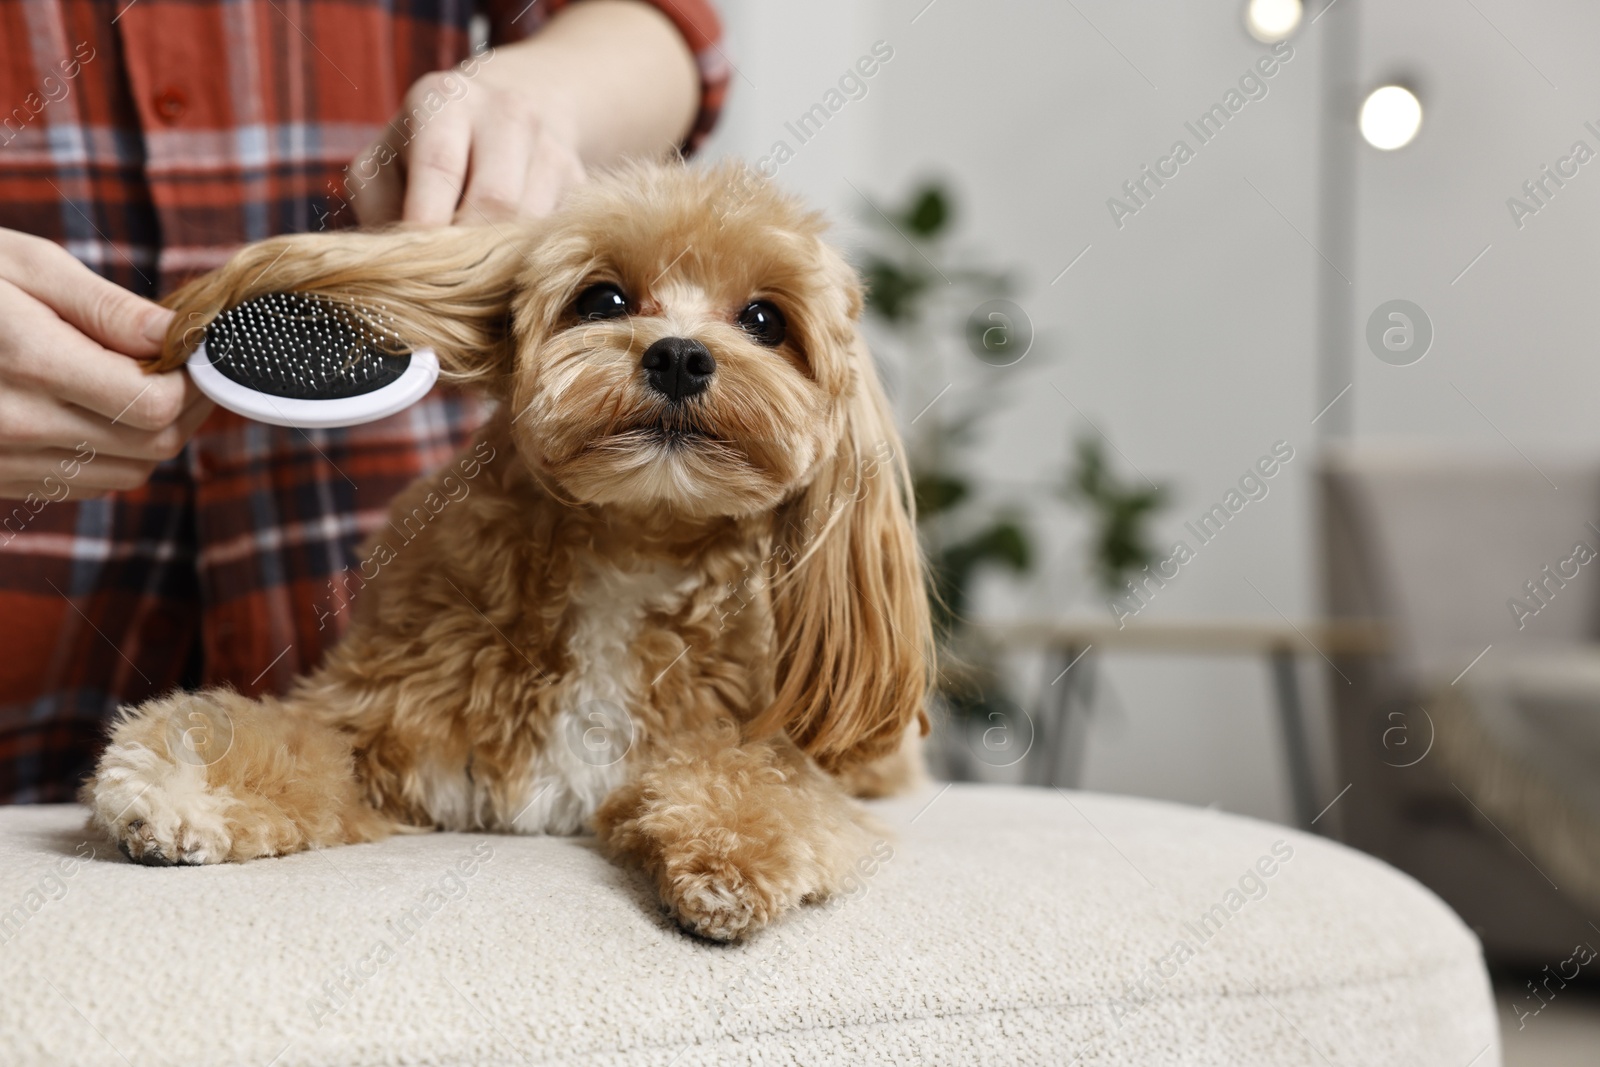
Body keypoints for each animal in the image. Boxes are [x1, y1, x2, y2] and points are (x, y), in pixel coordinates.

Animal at [84, 160, 934, 940]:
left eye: (764, 320)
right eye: (603, 300)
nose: (680, 356)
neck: (631, 546)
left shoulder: (751, 746)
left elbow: (757, 780)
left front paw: (732, 857)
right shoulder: (379, 723)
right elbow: (289, 742)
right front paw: (182, 785)